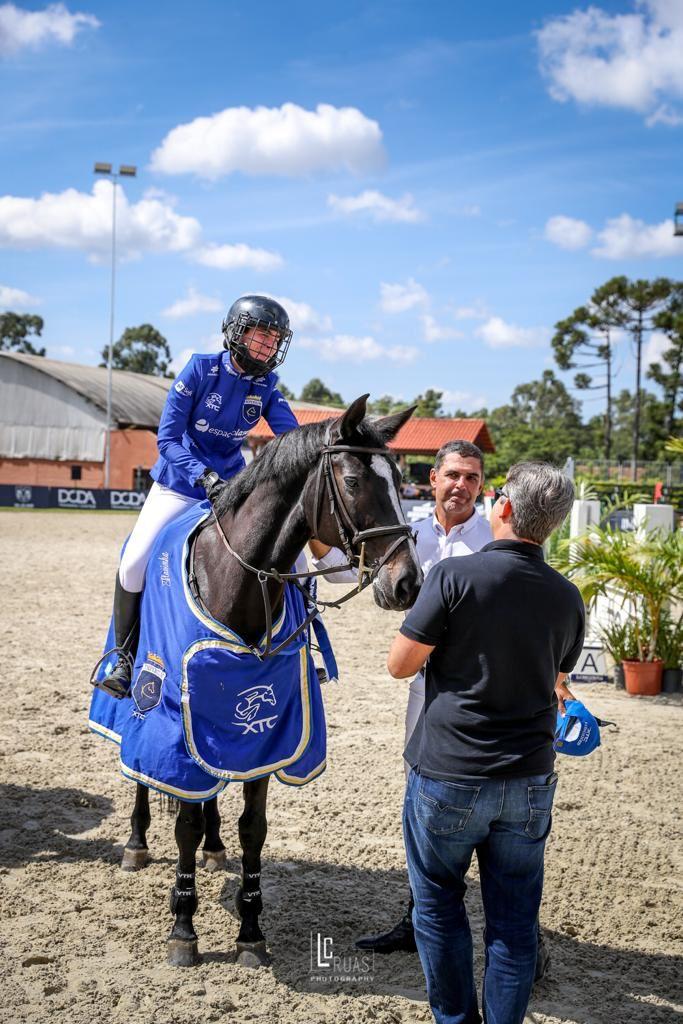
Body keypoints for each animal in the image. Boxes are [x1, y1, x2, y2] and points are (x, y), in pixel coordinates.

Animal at [112, 395, 421, 962]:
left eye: (399, 482)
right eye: (352, 481)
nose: (408, 582)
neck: (235, 581)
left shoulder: (266, 732)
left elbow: (252, 828)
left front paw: (251, 931)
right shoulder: (177, 723)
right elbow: (183, 822)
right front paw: (183, 928)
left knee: (210, 793)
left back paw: (215, 849)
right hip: (144, 697)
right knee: (141, 766)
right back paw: (136, 843)